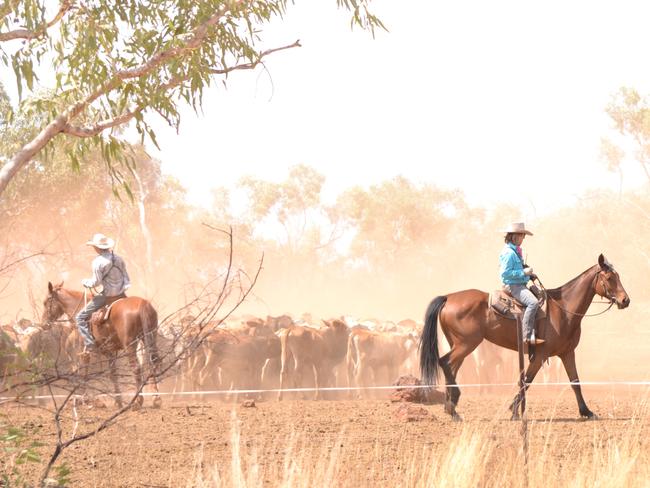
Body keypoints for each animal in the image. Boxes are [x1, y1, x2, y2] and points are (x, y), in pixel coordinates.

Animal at [42, 280, 162, 410]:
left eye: (46, 302)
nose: (43, 324)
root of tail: (142, 304)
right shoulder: (109, 352)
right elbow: (113, 374)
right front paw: (117, 401)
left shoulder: (84, 353)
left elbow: (84, 373)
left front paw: (83, 400)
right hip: (150, 337)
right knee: (153, 363)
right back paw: (156, 398)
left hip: (130, 345)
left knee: (136, 368)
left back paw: (137, 401)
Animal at [420, 255, 628, 420]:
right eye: (609, 278)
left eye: (618, 276)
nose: (625, 300)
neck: (563, 310)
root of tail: (448, 297)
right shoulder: (541, 355)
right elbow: (526, 381)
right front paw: (514, 411)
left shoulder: (567, 353)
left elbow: (575, 382)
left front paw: (587, 412)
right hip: (466, 344)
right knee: (445, 362)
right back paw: (453, 405)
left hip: (458, 344)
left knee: (451, 368)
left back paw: (451, 408)